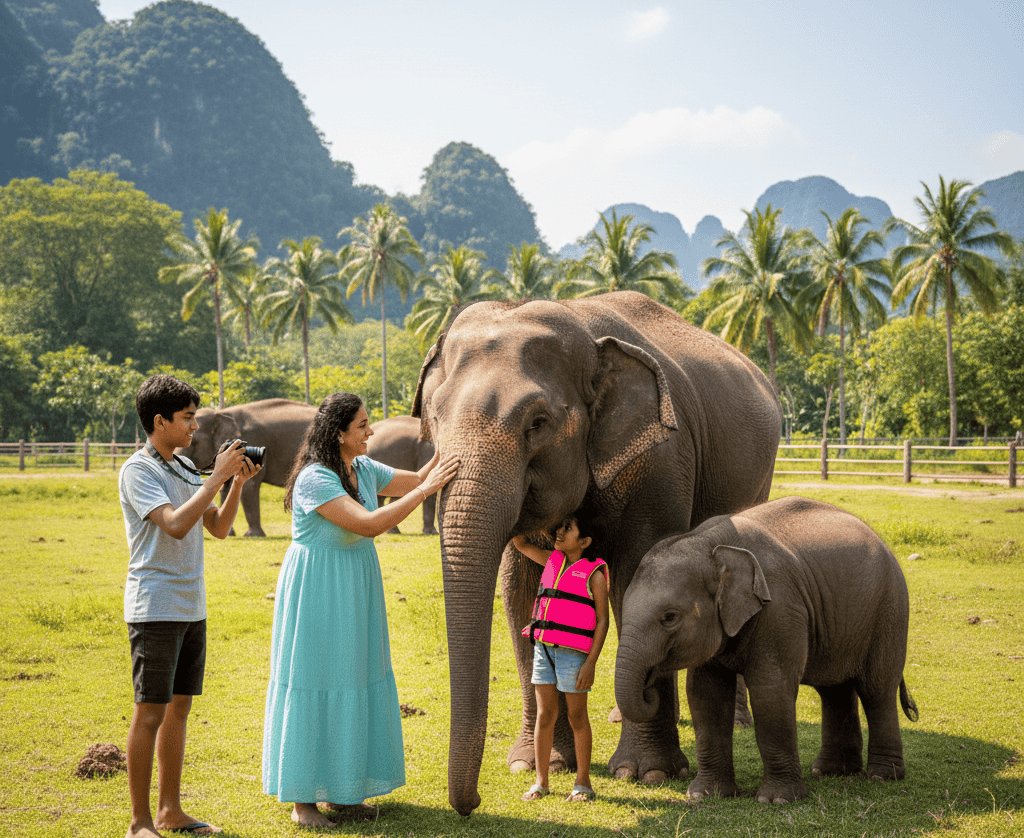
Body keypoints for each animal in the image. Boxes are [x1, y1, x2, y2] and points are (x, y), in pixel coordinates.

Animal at [175, 398, 316, 537]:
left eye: (193, 441)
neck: (221, 413)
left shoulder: (252, 438)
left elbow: (249, 486)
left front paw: (253, 536)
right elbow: (225, 487)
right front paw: (230, 534)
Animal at [411, 290, 782, 815]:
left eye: (538, 423)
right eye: (435, 418)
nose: (472, 802)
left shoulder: (660, 463)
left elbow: (638, 578)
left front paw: (647, 773)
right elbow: (520, 591)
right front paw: (534, 764)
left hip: (759, 477)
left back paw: (734, 721)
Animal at [614, 495, 919, 805]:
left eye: (669, 617)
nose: (649, 689)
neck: (710, 544)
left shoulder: (780, 608)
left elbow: (770, 690)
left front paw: (777, 800)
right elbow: (705, 695)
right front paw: (705, 796)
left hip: (890, 610)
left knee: (876, 689)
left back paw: (882, 776)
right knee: (834, 689)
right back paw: (832, 772)